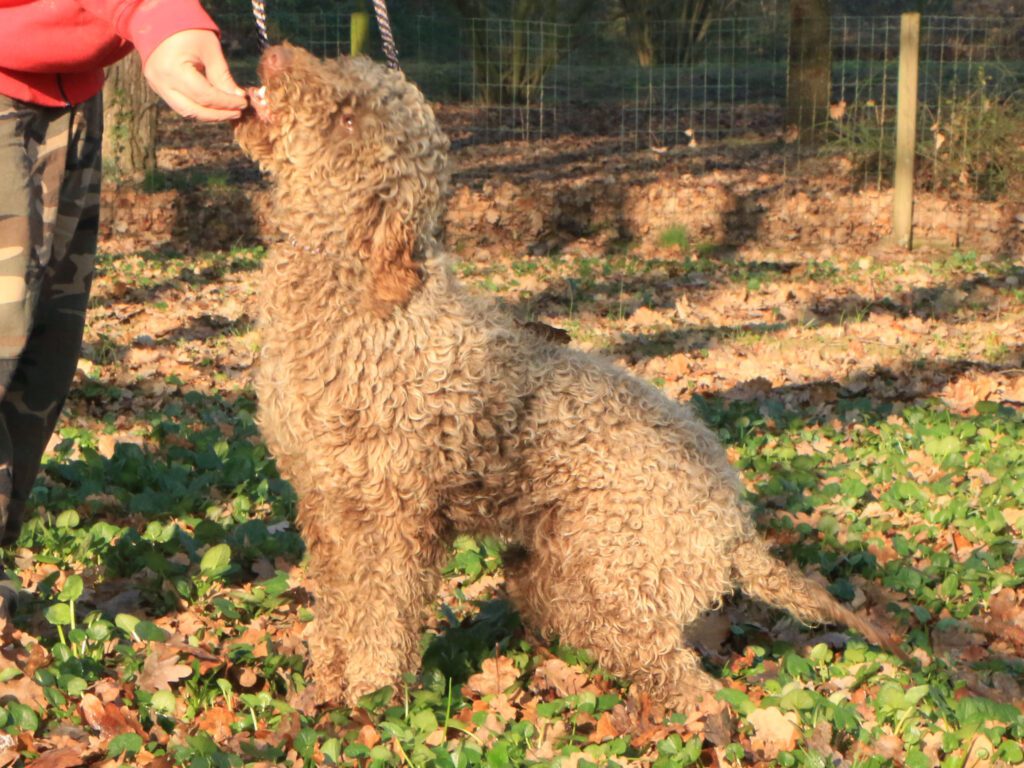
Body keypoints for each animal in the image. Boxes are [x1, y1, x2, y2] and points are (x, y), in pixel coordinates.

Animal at [234, 45, 905, 712]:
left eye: (349, 120)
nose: (276, 53)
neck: (362, 295)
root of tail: (738, 530)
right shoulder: (326, 506)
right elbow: (338, 610)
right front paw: (326, 685)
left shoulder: (390, 517)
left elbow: (380, 619)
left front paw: (370, 700)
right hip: (559, 574)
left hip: (619, 574)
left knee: (690, 683)